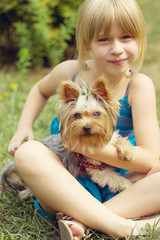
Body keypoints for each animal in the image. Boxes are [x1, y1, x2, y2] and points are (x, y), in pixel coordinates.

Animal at [0, 76, 134, 200]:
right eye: (77, 115)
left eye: (97, 114)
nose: (86, 127)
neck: (93, 138)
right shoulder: (97, 170)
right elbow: (116, 179)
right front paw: (130, 184)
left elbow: (120, 140)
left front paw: (127, 152)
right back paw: (25, 194)